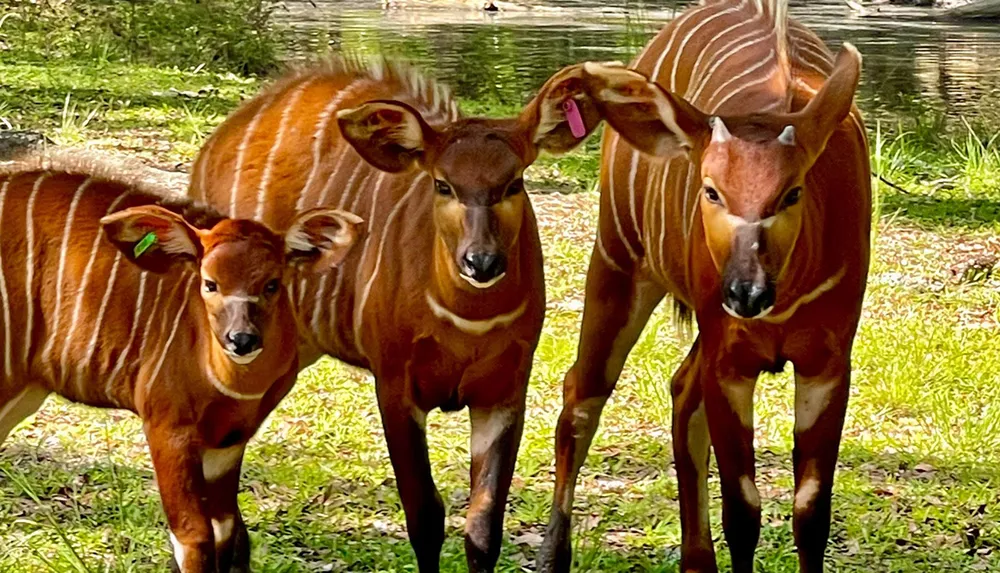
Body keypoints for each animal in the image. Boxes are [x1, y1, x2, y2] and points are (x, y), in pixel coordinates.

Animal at [536, 2, 872, 568]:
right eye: (712, 191)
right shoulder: (730, 362)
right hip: (619, 262)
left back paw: (697, 560)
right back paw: (553, 554)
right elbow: (743, 510)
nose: (746, 293)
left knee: (679, 388)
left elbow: (810, 512)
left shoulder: (826, 364)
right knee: (582, 393)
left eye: (792, 192)